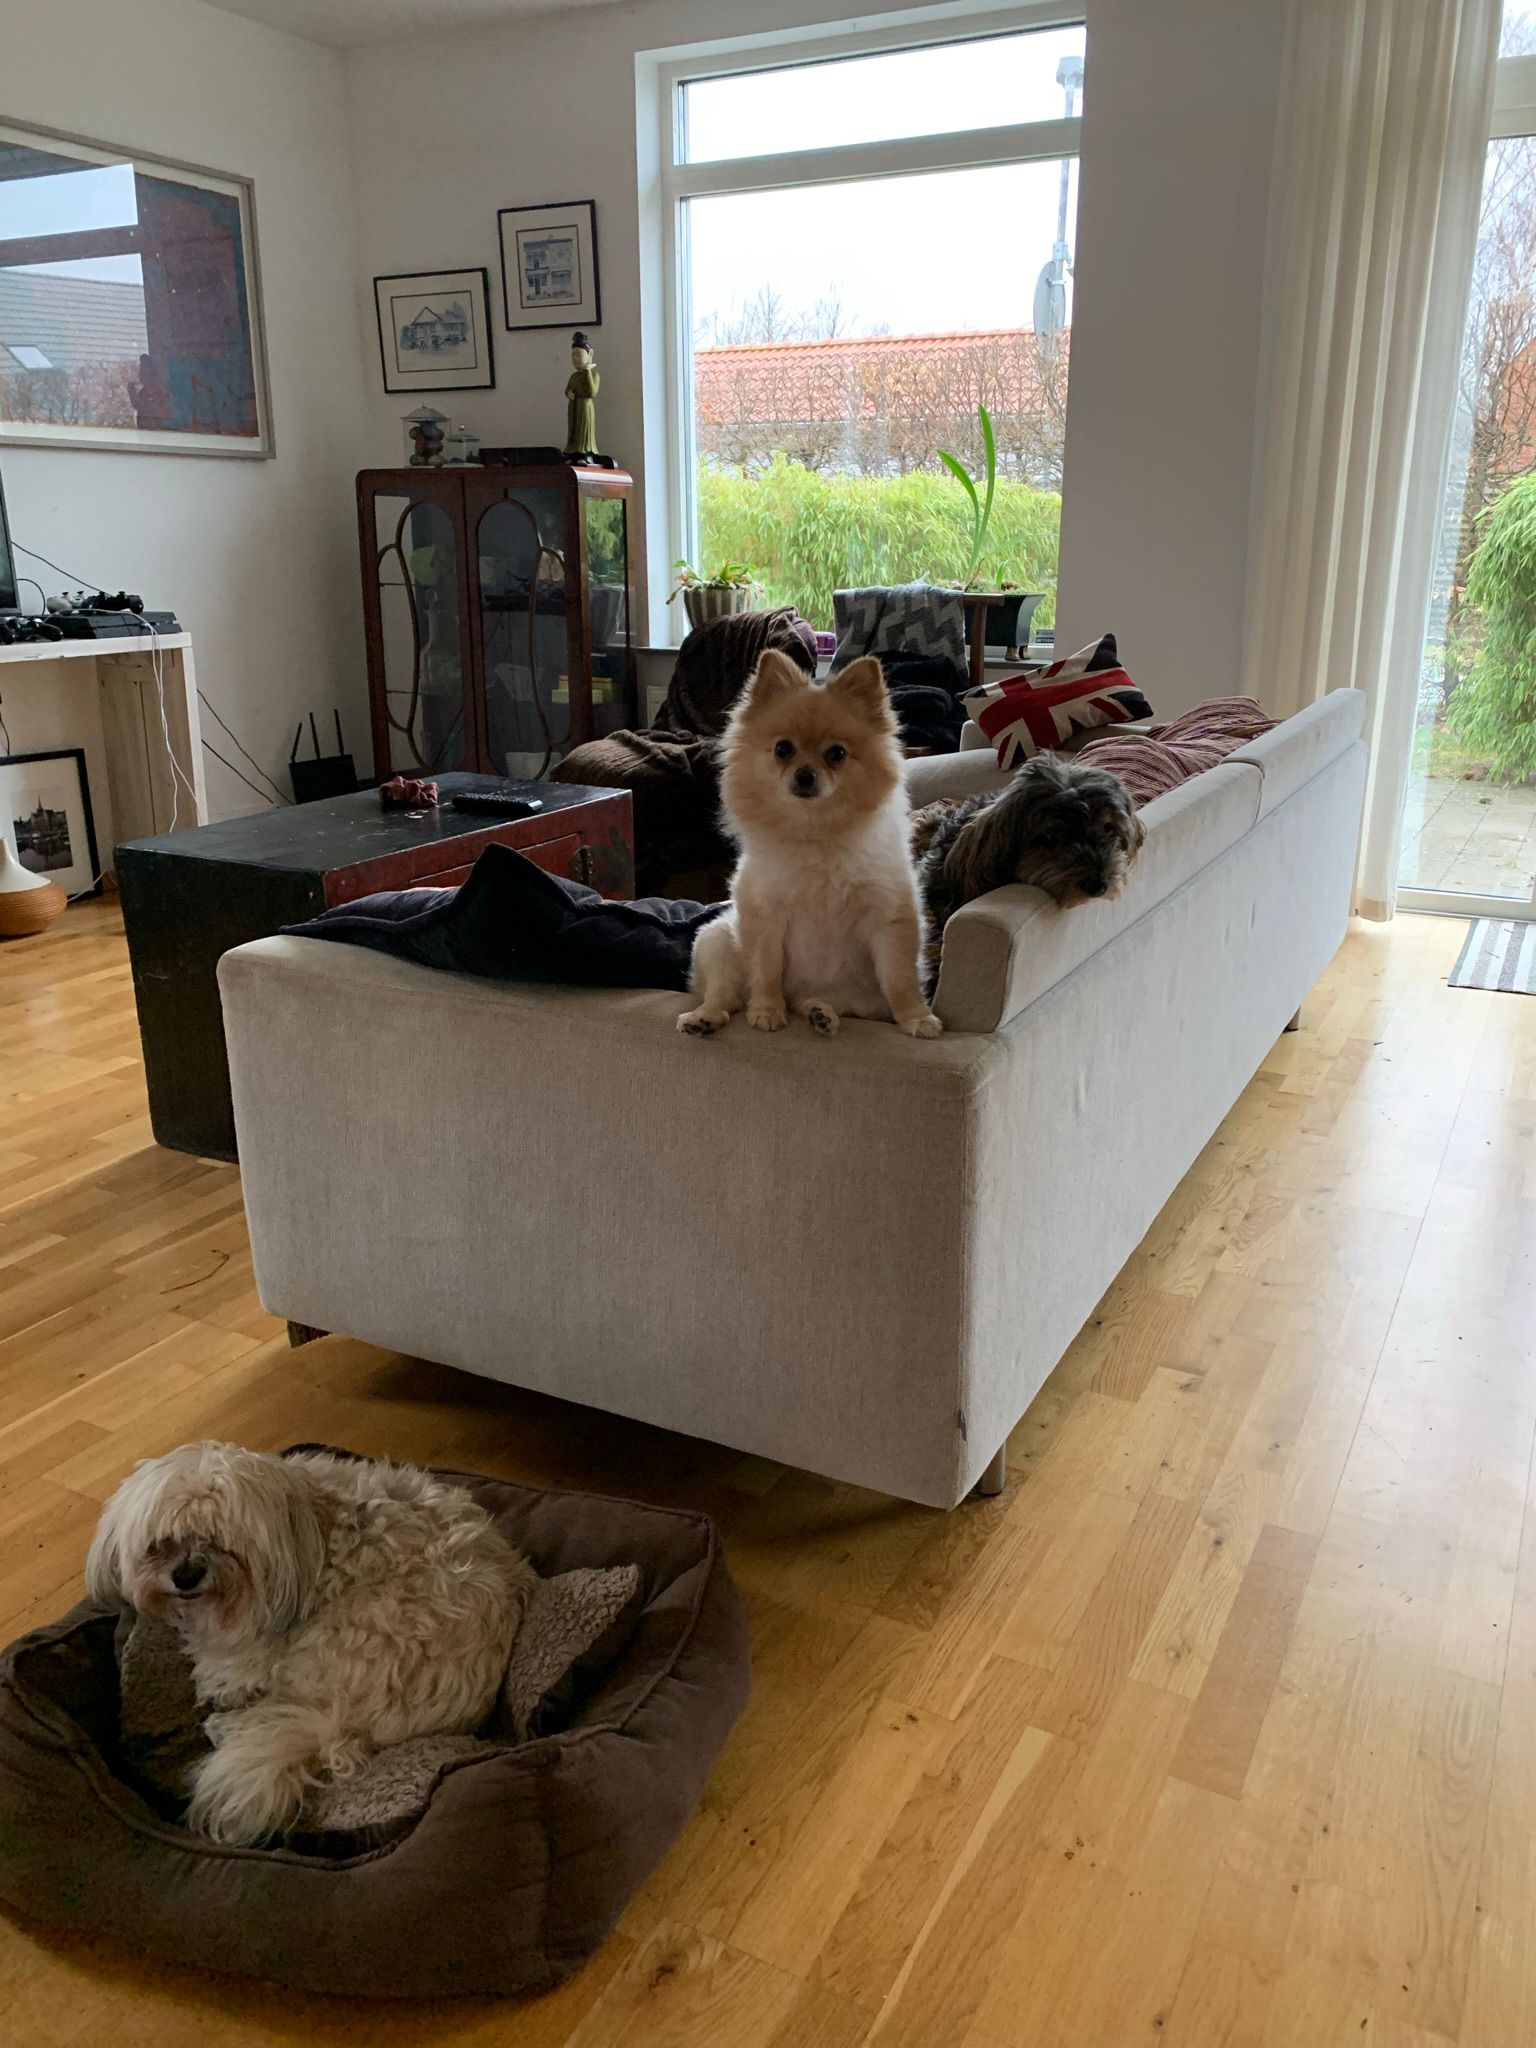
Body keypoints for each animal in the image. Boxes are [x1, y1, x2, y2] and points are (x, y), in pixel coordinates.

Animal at [86, 1442, 536, 1846]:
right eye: (163, 1541)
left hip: (334, 1643)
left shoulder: (252, 1648)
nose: (185, 1575)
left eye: (221, 1542)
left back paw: (225, 1725)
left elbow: (229, 1671)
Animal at [677, 649, 941, 1040]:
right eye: (783, 749)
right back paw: (705, 1017)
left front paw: (916, 1017)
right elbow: (766, 969)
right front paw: (767, 1010)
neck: (815, 833)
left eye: (837, 754)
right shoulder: (764, 915)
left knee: (838, 1005)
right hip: (716, 940)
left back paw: (820, 1013)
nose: (804, 775)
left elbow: (900, 979)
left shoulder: (889, 916)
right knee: (724, 995)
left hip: (861, 997)